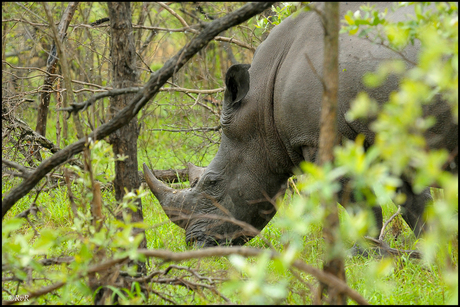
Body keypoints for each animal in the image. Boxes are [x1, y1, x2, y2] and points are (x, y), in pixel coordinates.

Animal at [144, 3, 456, 248]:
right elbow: (415, 202)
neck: (259, 110)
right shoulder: (389, 136)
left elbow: (362, 206)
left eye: (212, 183)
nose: (194, 244)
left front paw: (367, 254)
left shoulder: (320, 139)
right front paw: (429, 255)